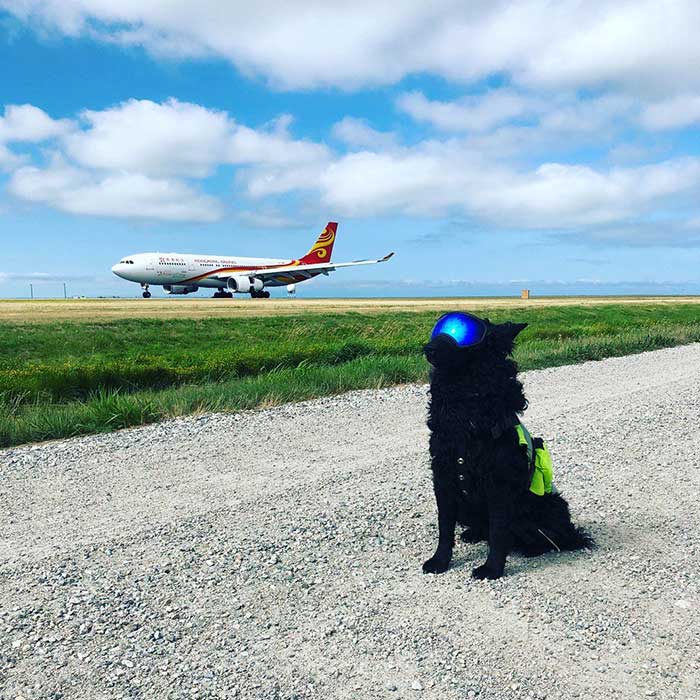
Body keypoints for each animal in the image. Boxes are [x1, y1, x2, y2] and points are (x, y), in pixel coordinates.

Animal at [422, 312, 592, 580]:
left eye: (464, 333)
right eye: (439, 328)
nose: (428, 348)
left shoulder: (499, 485)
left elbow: (499, 532)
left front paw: (492, 569)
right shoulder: (443, 477)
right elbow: (445, 527)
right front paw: (439, 561)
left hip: (548, 507)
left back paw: (531, 549)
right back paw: (473, 534)